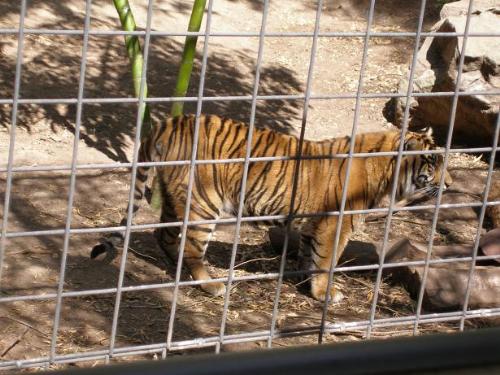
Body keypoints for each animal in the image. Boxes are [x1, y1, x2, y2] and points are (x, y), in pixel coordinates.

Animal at [91, 114, 454, 302]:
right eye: (432, 163)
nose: (450, 184)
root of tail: (171, 121)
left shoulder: (313, 225)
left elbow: (310, 255)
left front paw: (303, 283)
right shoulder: (334, 225)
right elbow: (326, 261)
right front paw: (325, 294)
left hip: (172, 195)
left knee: (163, 234)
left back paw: (177, 269)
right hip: (204, 203)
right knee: (190, 244)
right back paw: (209, 284)